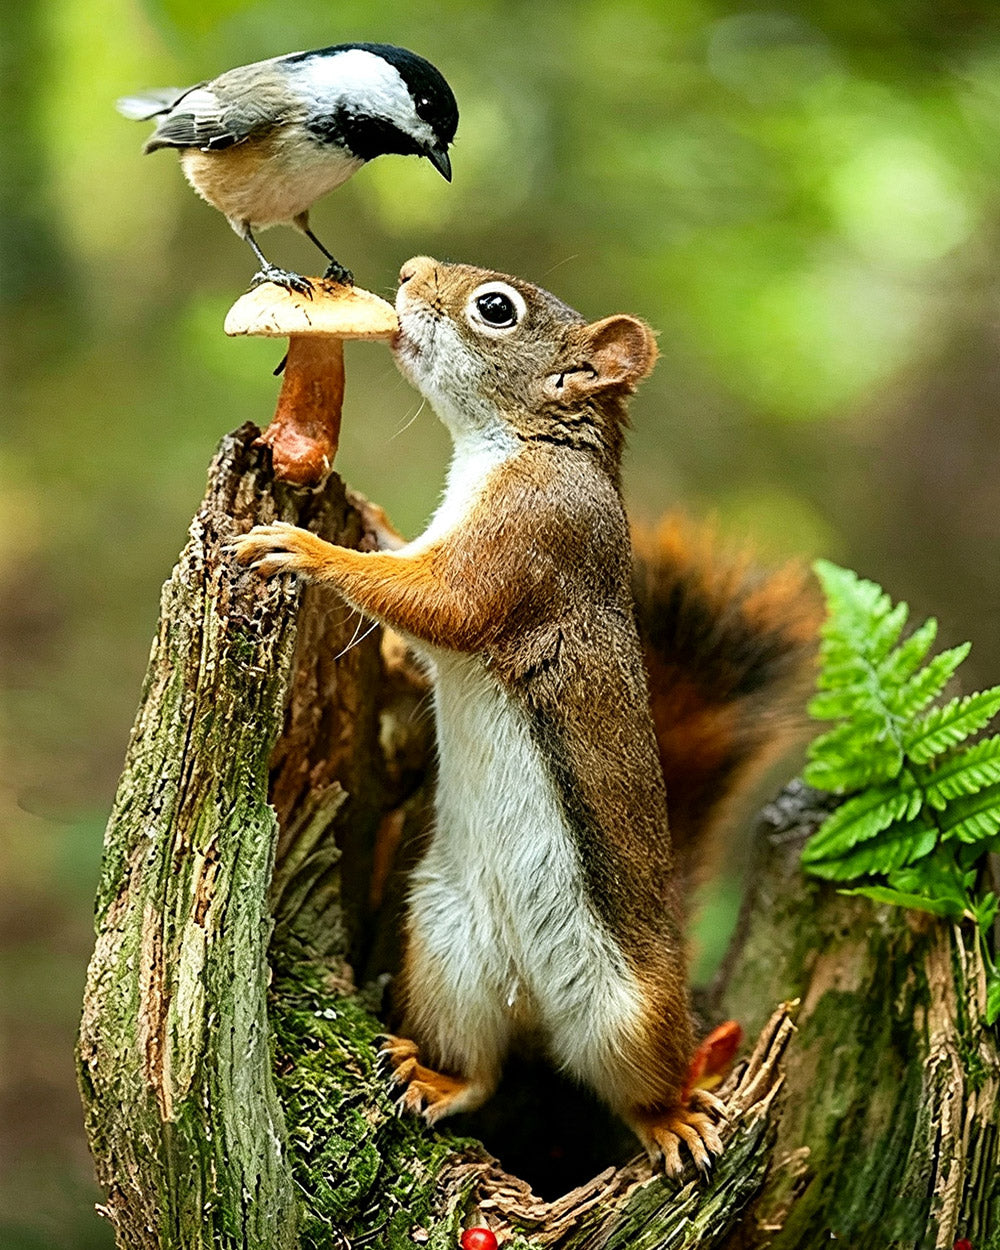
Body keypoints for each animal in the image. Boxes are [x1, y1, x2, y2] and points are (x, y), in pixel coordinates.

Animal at [233, 255, 820, 1174]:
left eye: (496, 309)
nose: (408, 273)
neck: (518, 444)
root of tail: (535, 1006)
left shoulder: (529, 540)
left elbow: (439, 604)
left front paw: (307, 548)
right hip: (445, 954)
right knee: (482, 1072)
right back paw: (435, 1078)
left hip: (631, 1014)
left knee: (640, 1086)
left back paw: (675, 1120)